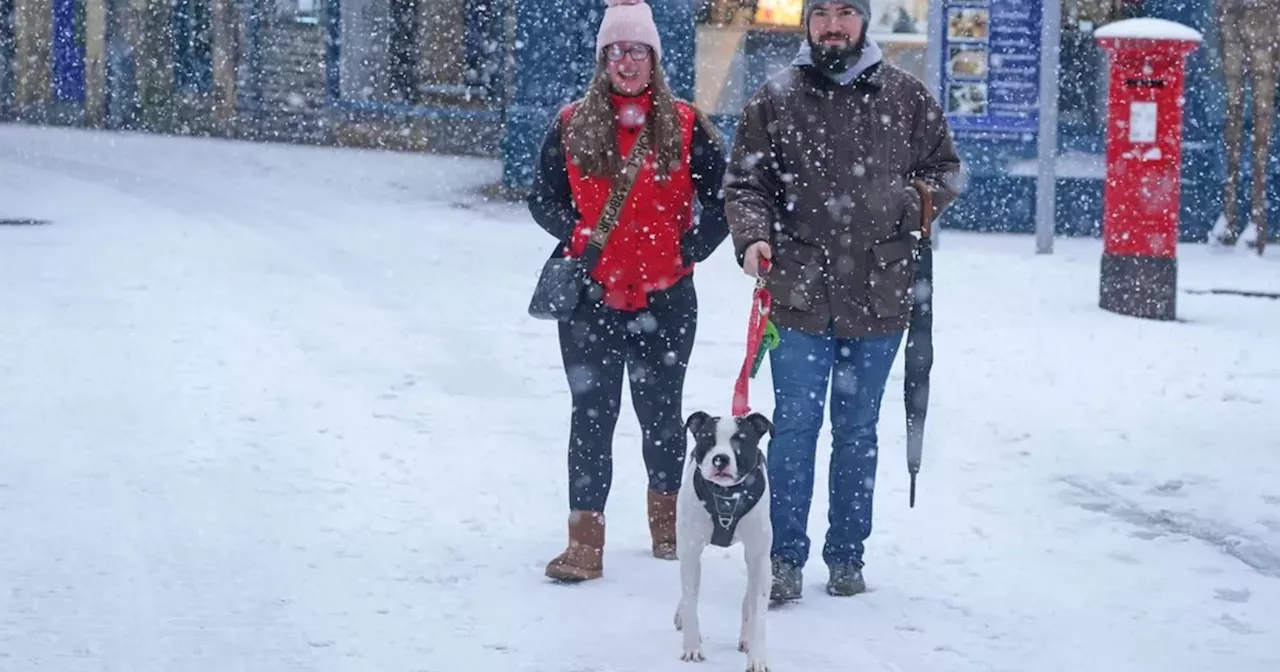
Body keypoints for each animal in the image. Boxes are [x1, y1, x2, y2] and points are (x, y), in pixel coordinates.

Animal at [675, 409, 773, 670]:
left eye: (740, 440)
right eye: (708, 439)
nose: (721, 459)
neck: (728, 495)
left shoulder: (759, 556)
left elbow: (758, 610)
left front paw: (757, 657)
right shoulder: (690, 549)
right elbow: (691, 598)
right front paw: (692, 648)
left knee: (749, 597)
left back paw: (745, 637)